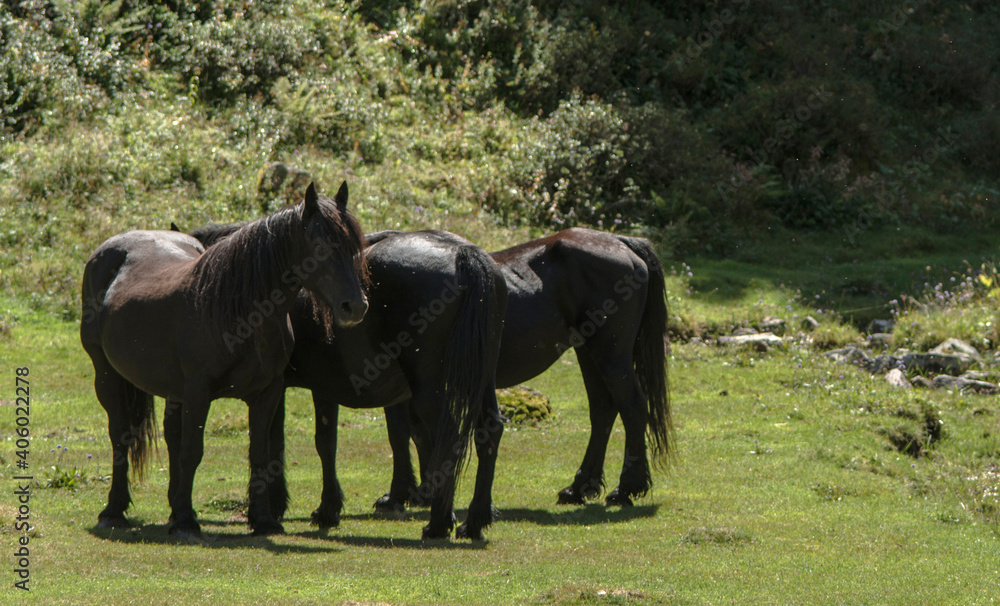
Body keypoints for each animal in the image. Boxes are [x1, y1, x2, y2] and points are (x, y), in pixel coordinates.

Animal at [80, 182, 368, 539]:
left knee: (170, 437)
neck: (240, 312)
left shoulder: (267, 393)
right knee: (121, 436)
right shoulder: (198, 392)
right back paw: (115, 510)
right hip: (107, 377)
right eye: (320, 246)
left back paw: (172, 507)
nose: (355, 306)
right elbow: (192, 451)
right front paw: (187, 522)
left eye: (354, 245)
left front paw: (263, 519)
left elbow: (259, 453)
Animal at [180, 225, 508, 540]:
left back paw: (438, 524)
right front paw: (327, 508)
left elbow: (275, 443)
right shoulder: (324, 387)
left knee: (448, 438)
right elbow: (326, 443)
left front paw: (274, 505)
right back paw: (474, 522)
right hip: (481, 381)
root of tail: (462, 253)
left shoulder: (275, 388)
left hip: (429, 388)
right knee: (489, 431)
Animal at [372, 227, 672, 511]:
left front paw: (402, 494)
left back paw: (626, 489)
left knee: (633, 407)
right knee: (603, 411)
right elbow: (416, 433)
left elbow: (401, 433)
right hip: (588, 353)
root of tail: (621, 242)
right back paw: (579, 488)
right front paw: (421, 491)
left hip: (611, 356)